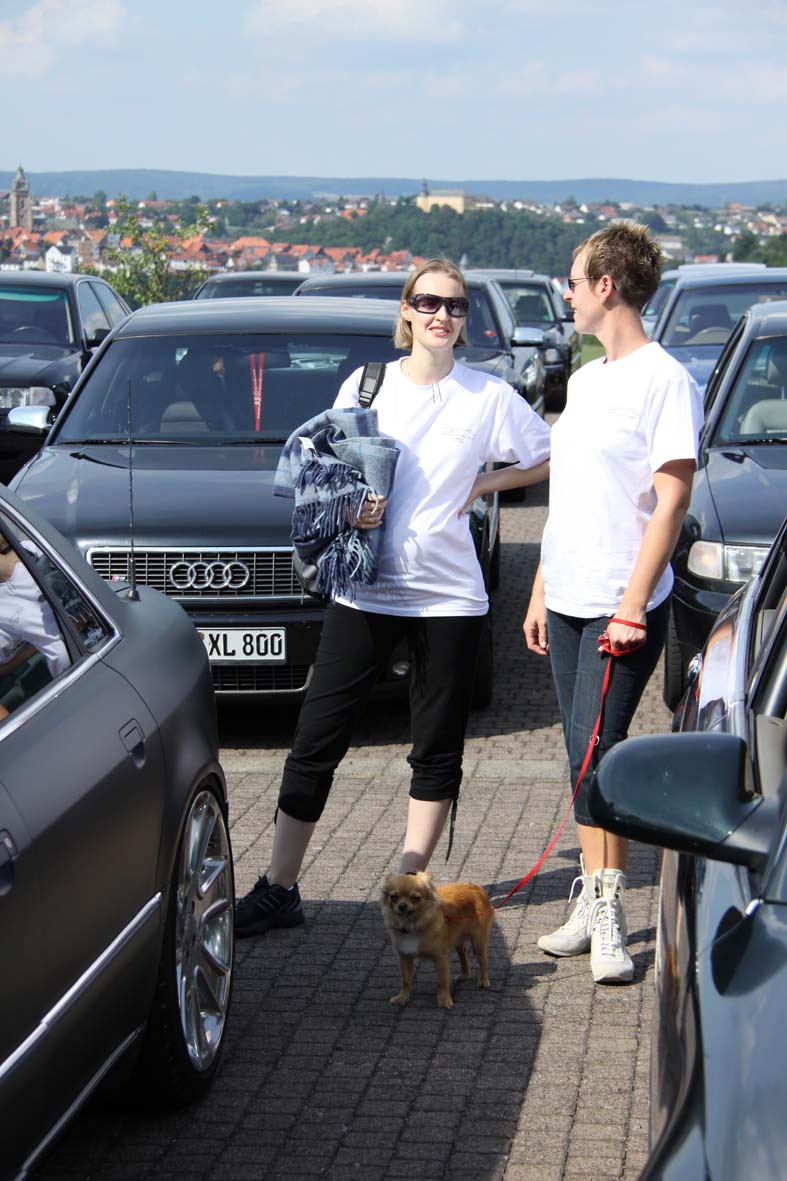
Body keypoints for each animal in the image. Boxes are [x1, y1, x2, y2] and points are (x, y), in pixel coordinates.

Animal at [380, 871, 494, 1009]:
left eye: (415, 898)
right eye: (394, 897)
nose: (402, 906)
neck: (413, 925)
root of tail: (476, 887)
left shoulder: (440, 958)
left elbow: (442, 981)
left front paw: (444, 999)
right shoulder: (405, 957)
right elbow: (406, 980)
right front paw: (402, 997)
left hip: (478, 940)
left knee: (483, 960)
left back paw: (483, 980)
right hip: (457, 939)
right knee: (463, 954)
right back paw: (464, 975)